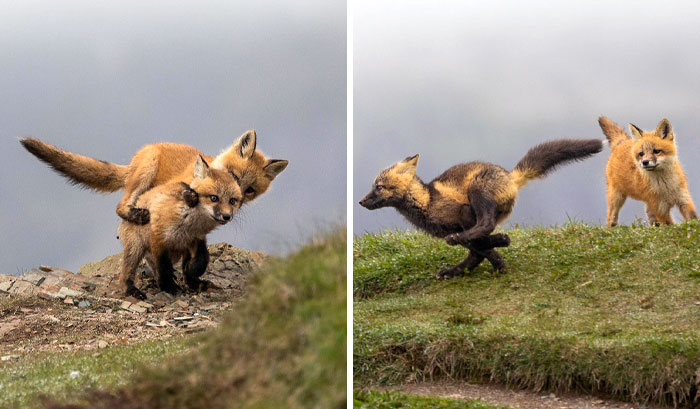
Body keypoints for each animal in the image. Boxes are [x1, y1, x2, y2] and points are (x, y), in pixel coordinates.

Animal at [19, 130, 288, 223]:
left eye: (249, 190)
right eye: (232, 175)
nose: (233, 204)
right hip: (147, 171)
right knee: (121, 206)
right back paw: (135, 214)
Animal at [119, 155, 242, 298]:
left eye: (232, 201)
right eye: (214, 198)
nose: (226, 216)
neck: (189, 224)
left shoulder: (196, 239)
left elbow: (203, 259)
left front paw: (191, 271)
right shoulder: (158, 237)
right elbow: (163, 266)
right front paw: (168, 286)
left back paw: (193, 282)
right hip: (136, 249)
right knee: (126, 275)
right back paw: (131, 289)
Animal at [360, 139, 600, 278]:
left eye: (378, 187)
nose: (361, 202)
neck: (427, 201)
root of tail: (509, 176)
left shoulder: (465, 214)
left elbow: (480, 241)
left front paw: (500, 253)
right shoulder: (452, 227)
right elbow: (478, 251)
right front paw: (496, 261)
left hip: (477, 191)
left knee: (485, 225)